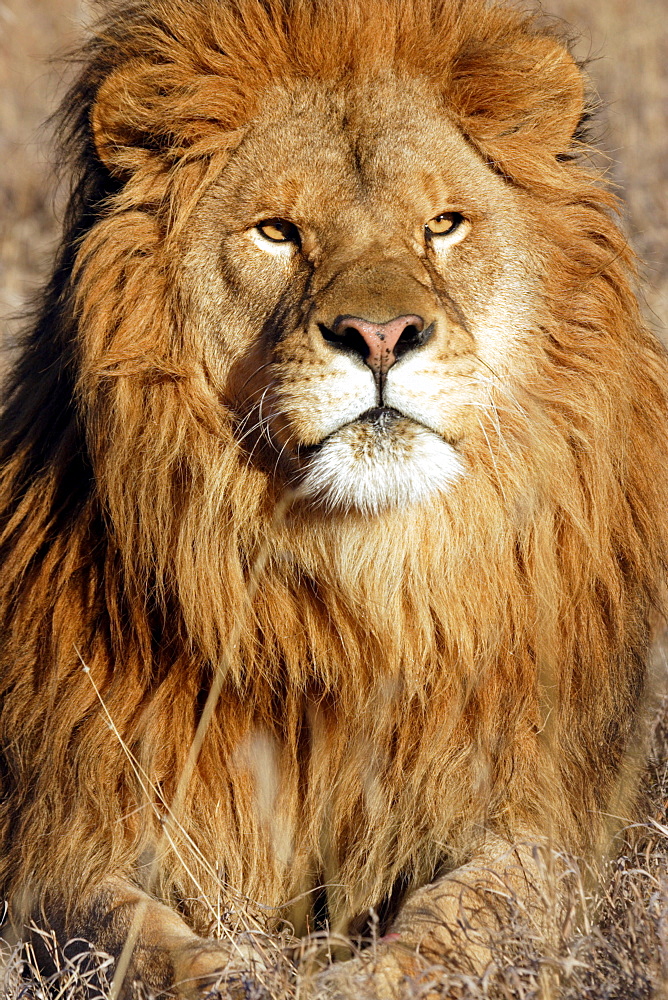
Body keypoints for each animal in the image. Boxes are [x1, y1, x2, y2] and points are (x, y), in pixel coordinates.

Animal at [1, 0, 668, 996]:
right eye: (277, 232)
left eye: (443, 225)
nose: (381, 335)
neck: (354, 590)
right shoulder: (66, 835)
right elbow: (130, 940)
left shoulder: (544, 825)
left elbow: (459, 928)